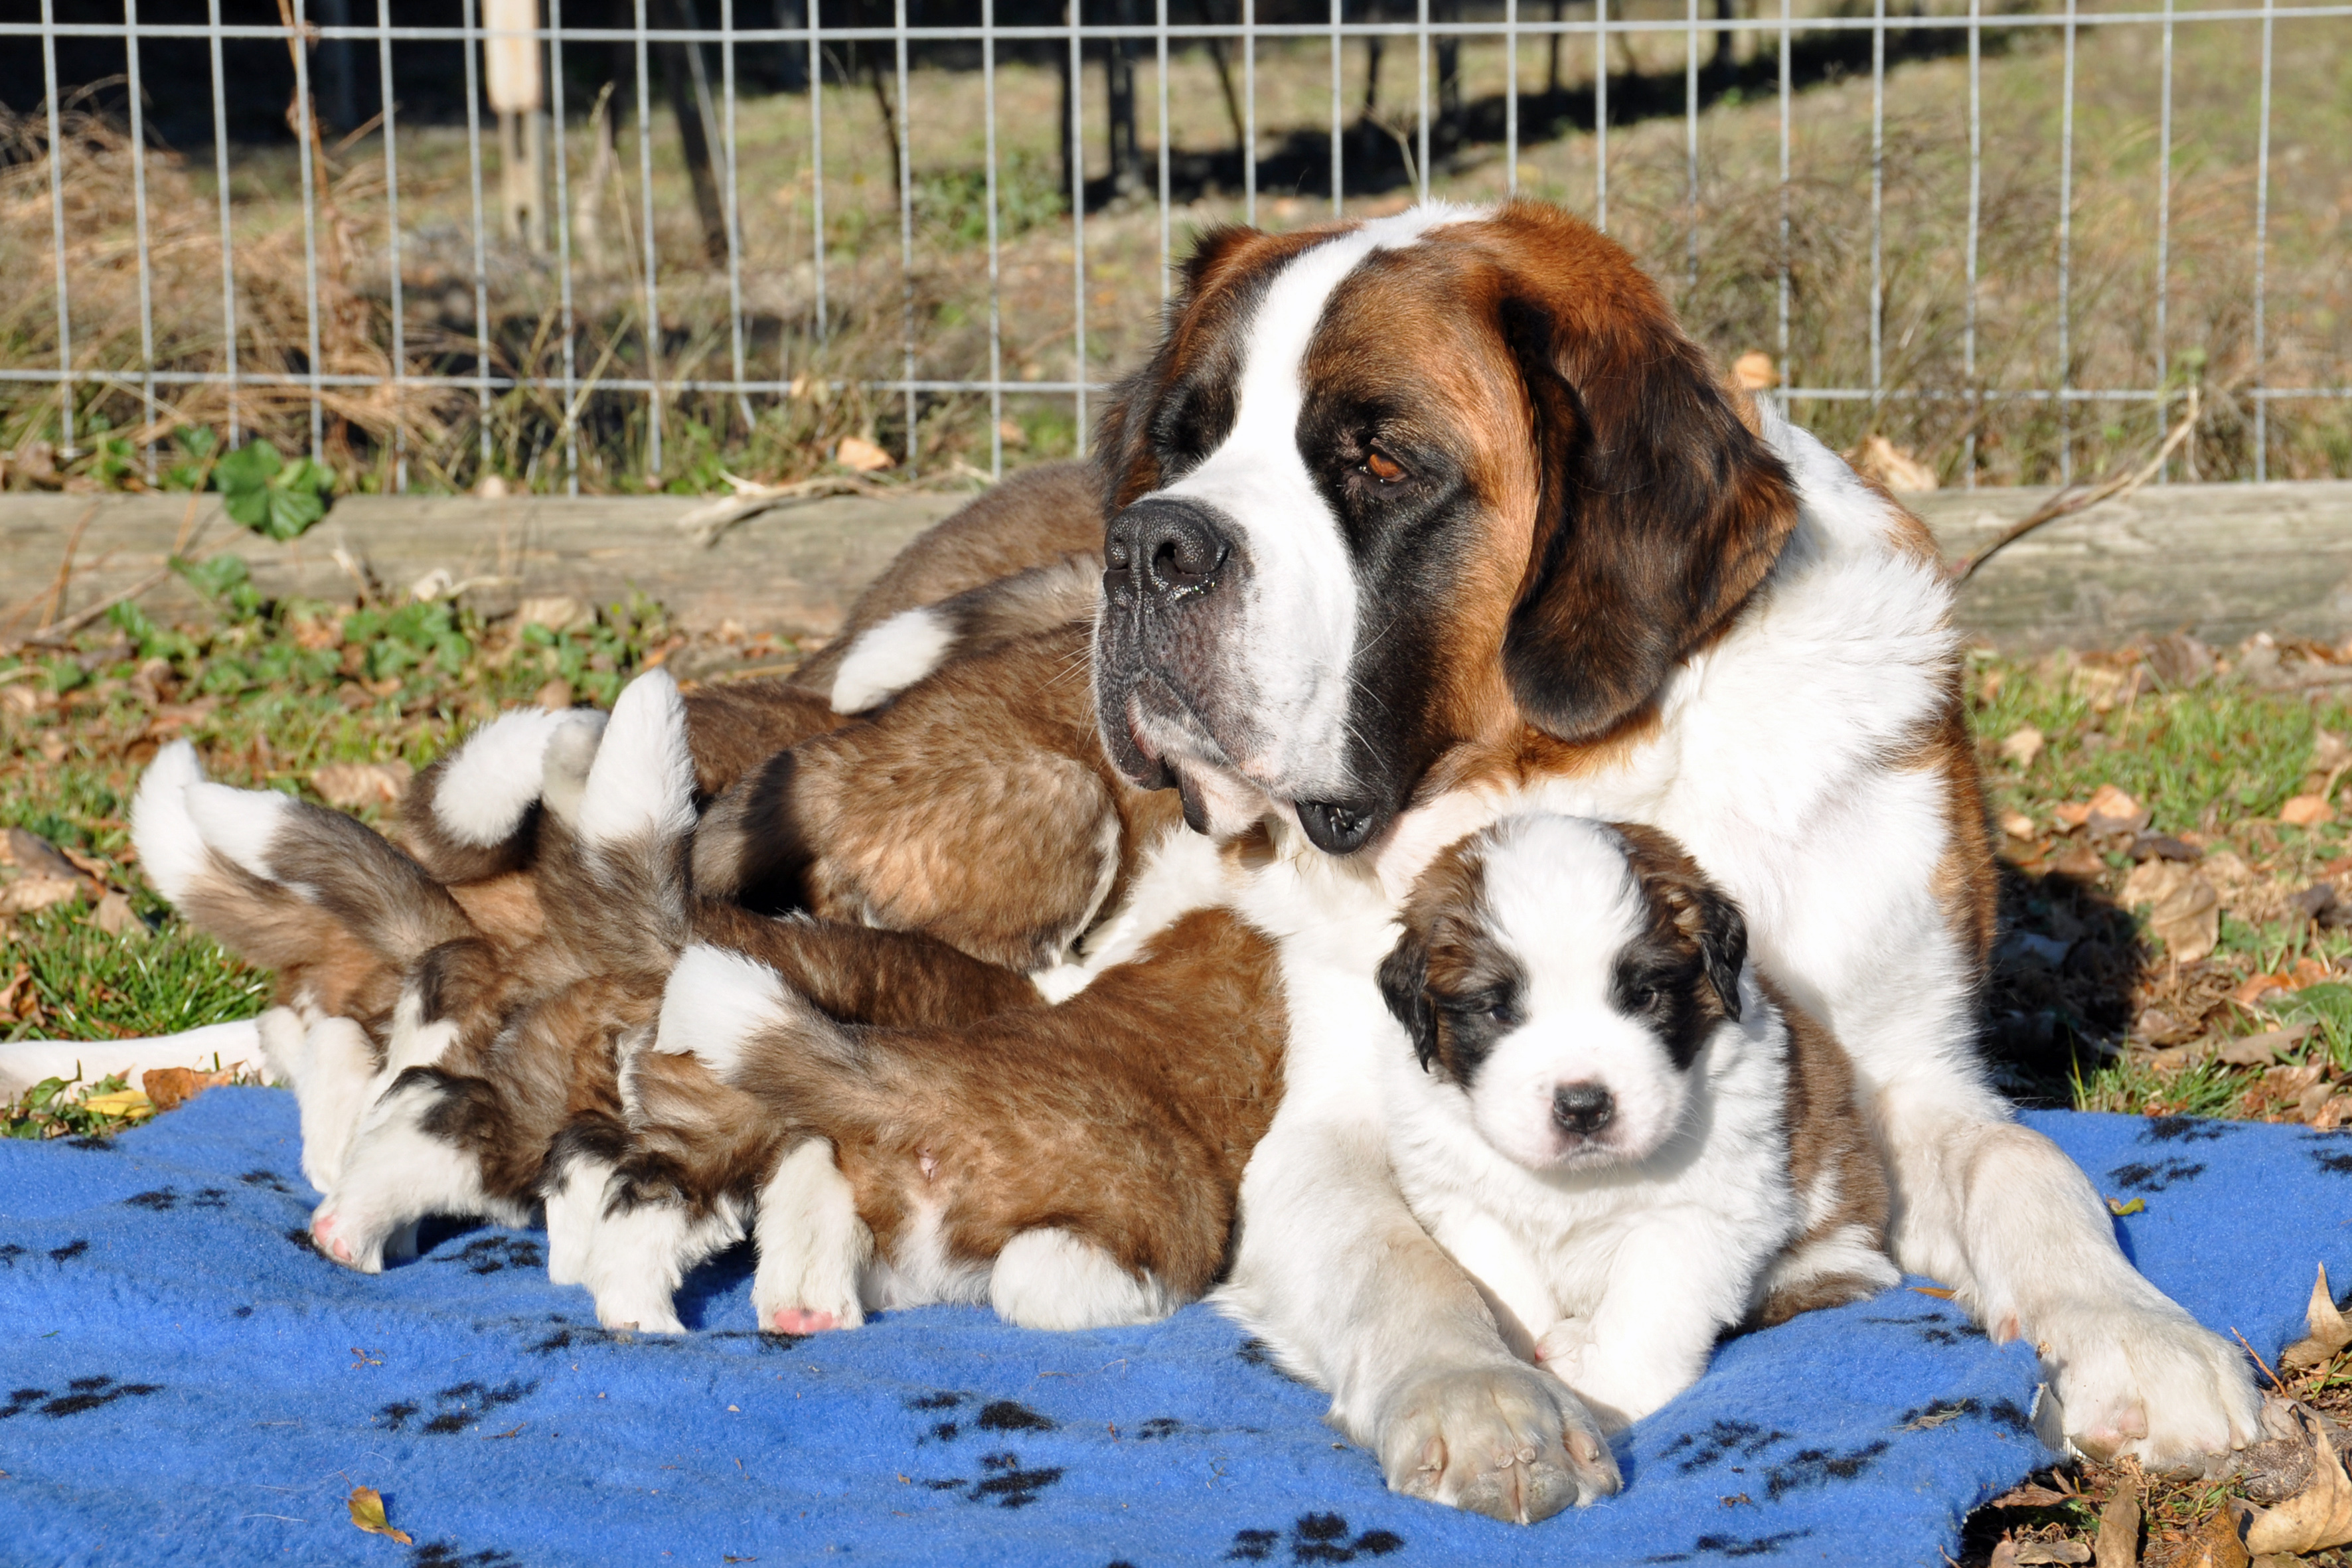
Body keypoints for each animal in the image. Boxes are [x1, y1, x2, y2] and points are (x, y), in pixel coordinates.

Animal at [1373, 818, 1891, 1439]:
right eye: (1496, 1009)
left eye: (1644, 995)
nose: (1582, 1107)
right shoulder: (1466, 1205)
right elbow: (1510, 1291)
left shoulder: (1700, 1214)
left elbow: (1649, 1309)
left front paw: (1602, 1393)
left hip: (1833, 1239)